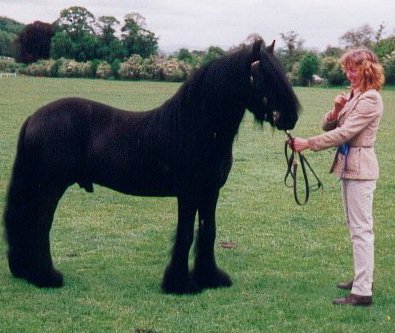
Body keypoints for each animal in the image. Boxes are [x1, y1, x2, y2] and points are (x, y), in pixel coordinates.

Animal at [2, 39, 300, 294]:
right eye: (264, 76)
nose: (292, 116)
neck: (197, 127)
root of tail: (33, 117)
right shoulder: (188, 194)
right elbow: (185, 234)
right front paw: (179, 284)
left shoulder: (210, 193)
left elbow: (208, 231)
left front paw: (210, 278)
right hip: (50, 187)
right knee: (39, 223)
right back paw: (46, 277)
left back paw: (25, 270)